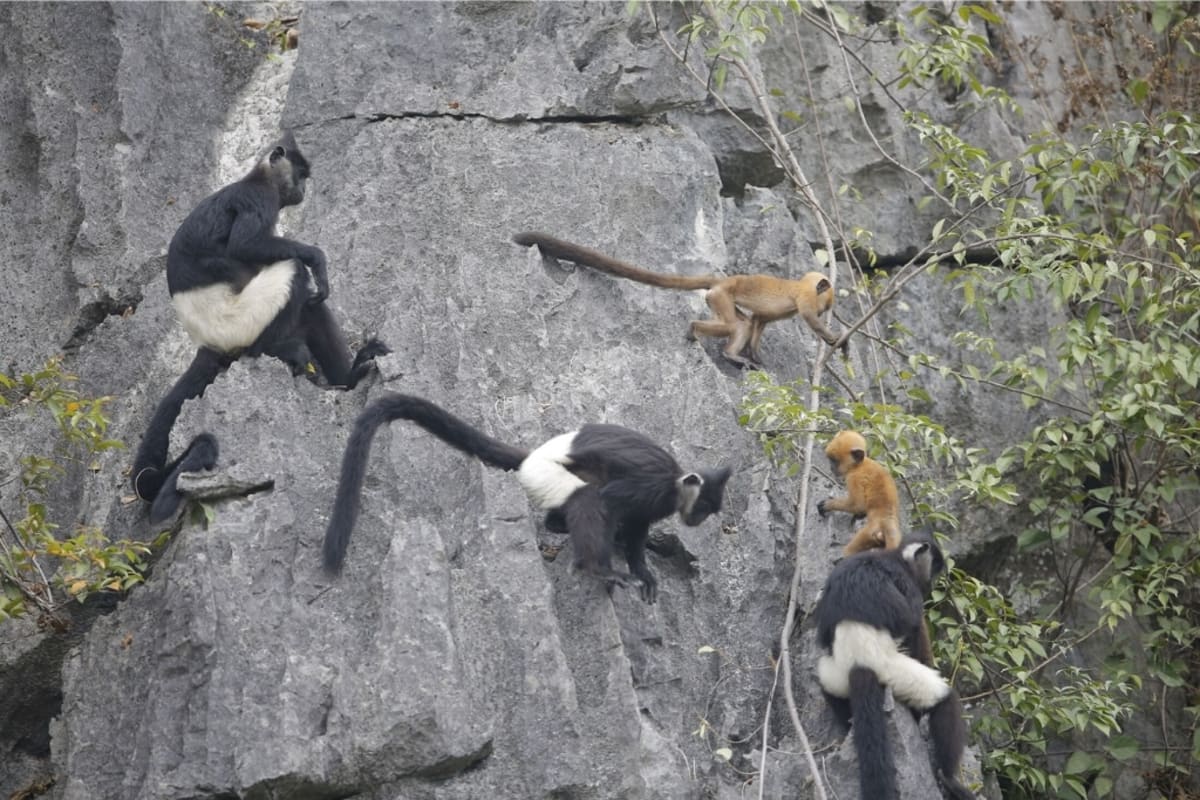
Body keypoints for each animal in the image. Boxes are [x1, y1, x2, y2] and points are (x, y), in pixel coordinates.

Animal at [132, 131, 389, 522]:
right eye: (300, 174)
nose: (302, 189)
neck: (257, 178)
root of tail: (208, 343)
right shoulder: (256, 199)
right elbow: (246, 245)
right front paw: (316, 258)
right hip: (243, 320)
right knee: (292, 273)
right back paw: (279, 348)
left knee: (311, 308)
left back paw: (348, 378)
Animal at [323, 393, 732, 603]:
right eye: (704, 507)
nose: (699, 519)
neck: (675, 484)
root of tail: (533, 456)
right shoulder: (651, 487)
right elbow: (609, 499)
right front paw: (611, 565)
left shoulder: (652, 506)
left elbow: (636, 534)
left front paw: (642, 571)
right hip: (546, 473)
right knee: (588, 495)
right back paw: (594, 566)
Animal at [513, 232, 847, 369]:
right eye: (825, 307)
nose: (826, 311)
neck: (802, 285)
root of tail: (721, 281)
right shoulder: (805, 298)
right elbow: (807, 318)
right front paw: (835, 339)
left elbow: (759, 320)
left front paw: (756, 354)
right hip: (720, 297)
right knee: (734, 326)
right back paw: (708, 338)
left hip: (719, 297)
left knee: (742, 322)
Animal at [815, 534, 976, 800]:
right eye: (934, 567)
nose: (931, 583)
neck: (894, 556)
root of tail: (860, 664)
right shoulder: (906, 583)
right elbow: (911, 621)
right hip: (896, 672)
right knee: (943, 698)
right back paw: (950, 778)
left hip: (835, 676)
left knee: (827, 685)